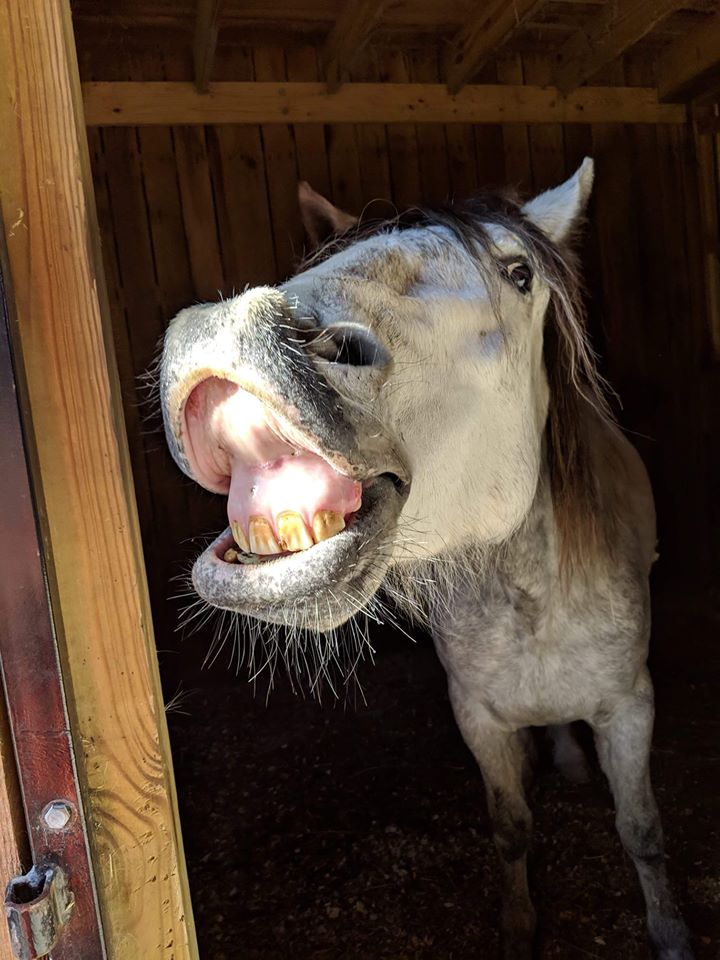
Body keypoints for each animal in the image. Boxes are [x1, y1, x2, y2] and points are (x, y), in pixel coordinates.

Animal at [162, 161, 692, 956]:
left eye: (520, 272)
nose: (230, 329)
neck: (531, 597)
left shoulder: (631, 708)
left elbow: (643, 833)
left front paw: (670, 932)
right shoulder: (478, 717)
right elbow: (511, 827)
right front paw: (518, 927)